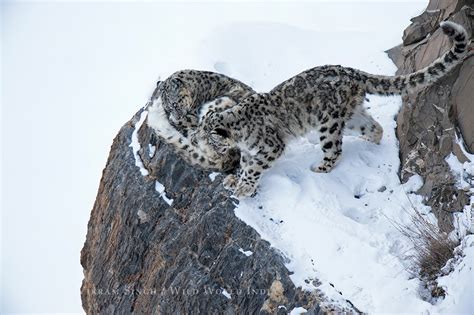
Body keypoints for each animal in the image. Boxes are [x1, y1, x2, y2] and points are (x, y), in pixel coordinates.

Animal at [189, 20, 470, 198]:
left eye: (208, 138)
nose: (197, 142)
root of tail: (351, 72)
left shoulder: (271, 146)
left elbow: (254, 168)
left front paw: (244, 187)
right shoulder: (250, 151)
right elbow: (247, 165)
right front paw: (234, 179)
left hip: (328, 124)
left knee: (335, 149)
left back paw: (319, 167)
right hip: (352, 117)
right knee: (374, 127)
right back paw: (373, 144)